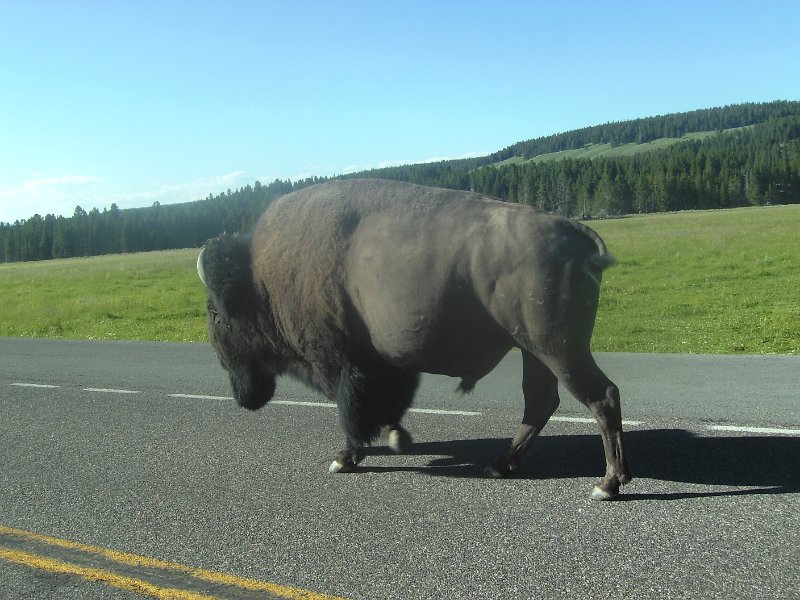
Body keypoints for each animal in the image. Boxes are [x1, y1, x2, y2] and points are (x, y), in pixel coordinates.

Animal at [198, 180, 632, 500]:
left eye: (216, 315)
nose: (244, 396)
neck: (260, 277)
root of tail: (577, 231)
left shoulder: (342, 364)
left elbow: (353, 411)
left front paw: (345, 458)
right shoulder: (387, 366)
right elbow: (387, 407)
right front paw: (396, 439)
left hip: (557, 349)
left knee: (602, 397)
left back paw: (607, 484)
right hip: (534, 351)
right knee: (541, 402)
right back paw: (500, 465)